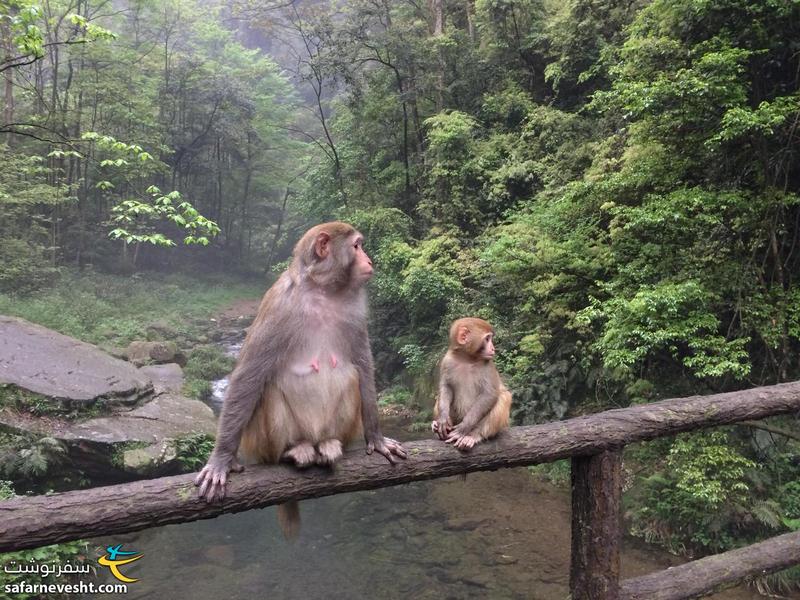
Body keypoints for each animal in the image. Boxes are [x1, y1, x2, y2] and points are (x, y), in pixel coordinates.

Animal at [195, 223, 406, 512]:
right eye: (356, 246)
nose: (369, 260)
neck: (324, 291)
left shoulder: (355, 310)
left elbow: (363, 366)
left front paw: (376, 437)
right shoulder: (279, 304)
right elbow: (249, 375)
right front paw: (221, 458)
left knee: (351, 376)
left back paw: (328, 444)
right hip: (262, 443)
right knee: (269, 386)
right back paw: (291, 451)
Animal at [432, 318, 512, 450]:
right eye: (487, 339)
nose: (493, 348)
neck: (467, 359)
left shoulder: (488, 365)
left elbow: (489, 394)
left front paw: (464, 428)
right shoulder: (447, 361)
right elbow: (446, 387)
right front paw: (443, 419)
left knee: (504, 396)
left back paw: (473, 435)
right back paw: (436, 425)